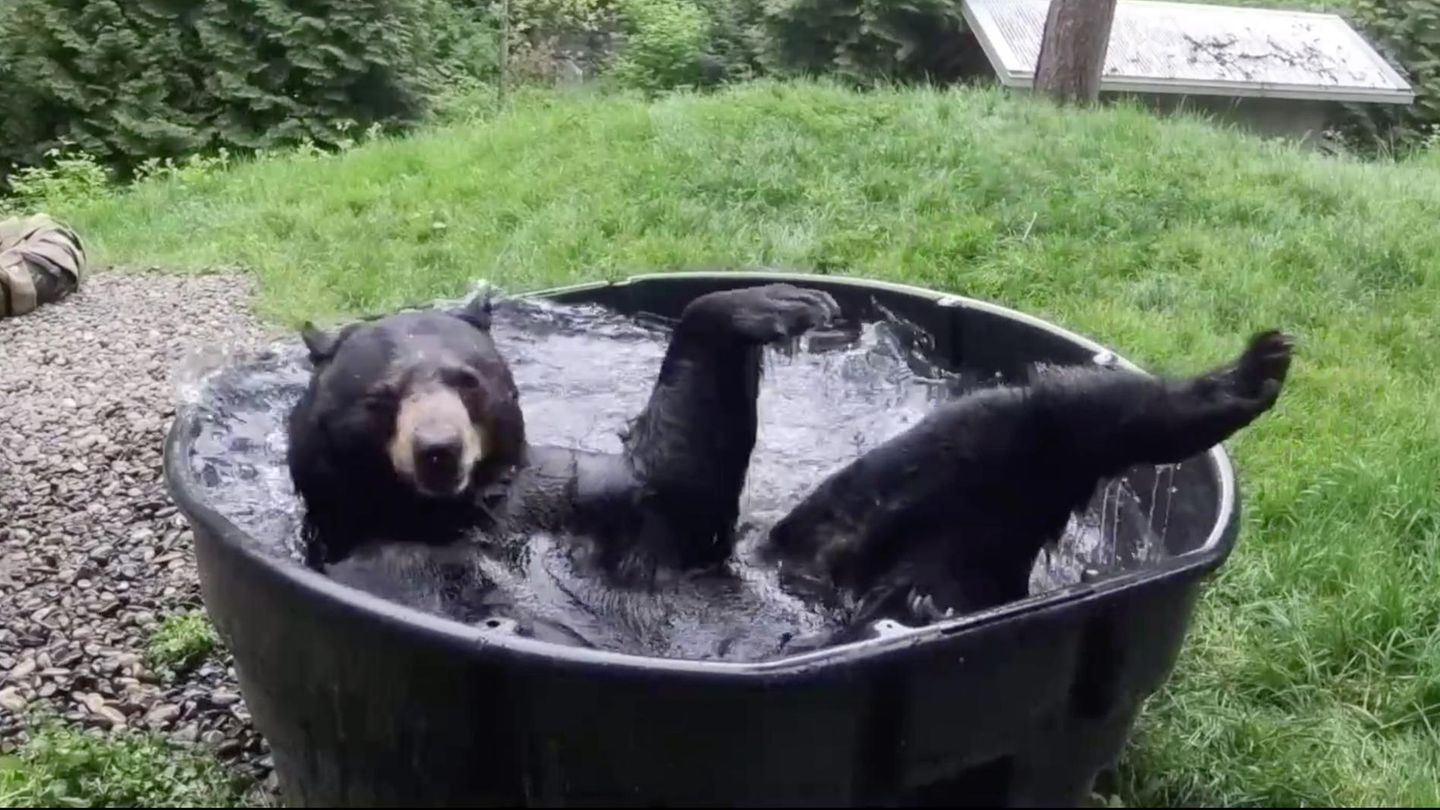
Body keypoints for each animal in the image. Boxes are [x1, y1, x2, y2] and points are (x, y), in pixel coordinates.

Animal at [283, 281, 1296, 651]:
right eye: (383, 396)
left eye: (466, 379)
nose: (440, 449)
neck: (468, 513)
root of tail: (962, 585)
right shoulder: (381, 560)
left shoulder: (565, 487)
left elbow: (674, 487)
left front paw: (774, 302)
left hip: (859, 522)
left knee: (1030, 417)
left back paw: (1246, 373)